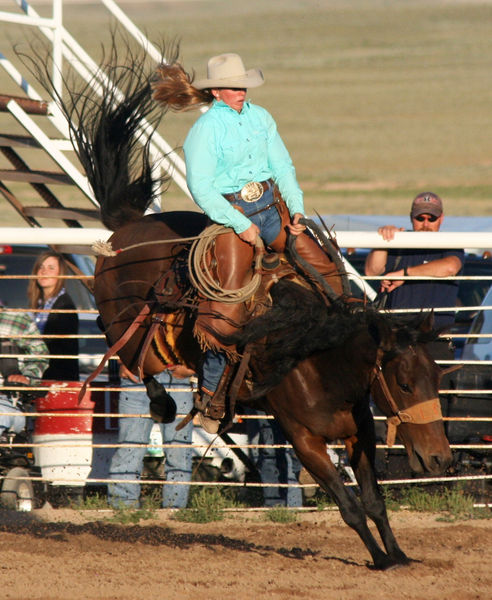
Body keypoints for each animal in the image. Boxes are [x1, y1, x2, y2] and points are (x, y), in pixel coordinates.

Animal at [44, 50, 452, 568]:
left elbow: (375, 501)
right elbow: (349, 506)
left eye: (436, 378)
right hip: (133, 328)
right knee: (125, 349)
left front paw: (397, 556)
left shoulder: (359, 429)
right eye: (403, 382)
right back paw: (165, 403)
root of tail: (128, 226)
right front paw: (378, 558)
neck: (317, 357)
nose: (440, 459)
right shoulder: (303, 438)